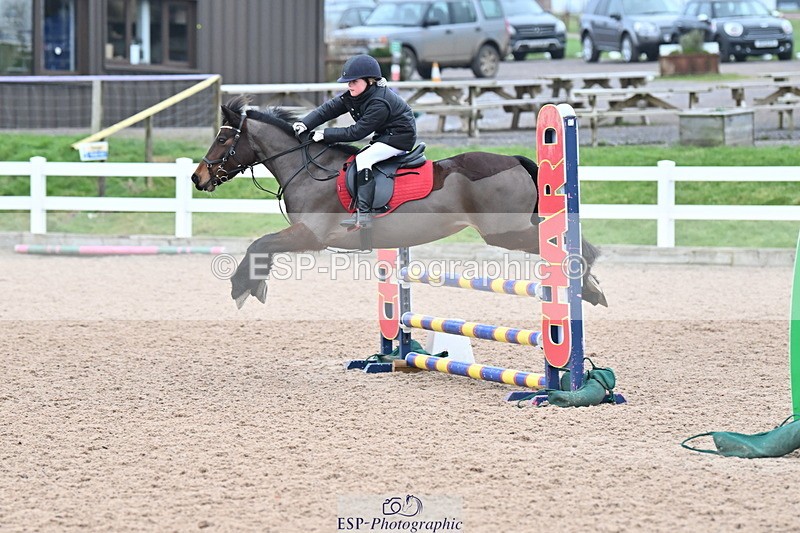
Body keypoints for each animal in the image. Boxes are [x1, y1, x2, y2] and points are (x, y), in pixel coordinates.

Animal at [191, 95, 608, 309]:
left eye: (223, 140)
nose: (198, 178)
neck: (307, 168)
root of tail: (515, 160)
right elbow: (262, 246)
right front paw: (252, 285)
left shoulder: (311, 235)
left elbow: (260, 244)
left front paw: (243, 287)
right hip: (516, 227)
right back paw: (589, 286)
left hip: (506, 232)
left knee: (565, 245)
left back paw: (584, 280)